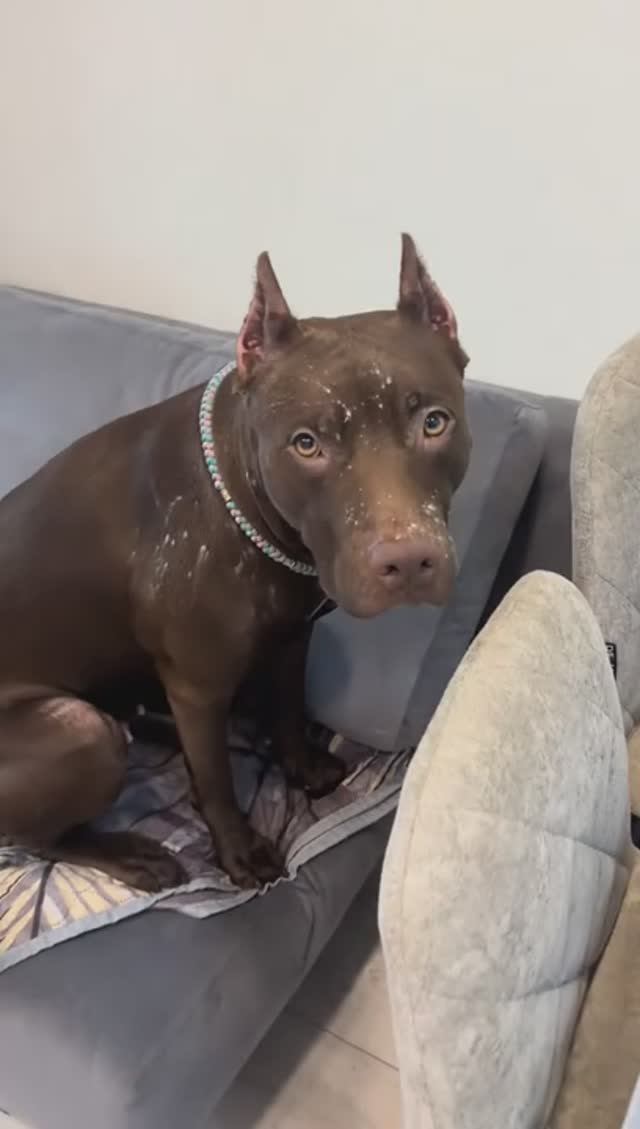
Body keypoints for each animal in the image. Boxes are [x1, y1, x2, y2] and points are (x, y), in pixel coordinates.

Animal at [0, 234, 470, 890]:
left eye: (434, 422)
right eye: (307, 444)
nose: (407, 560)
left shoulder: (293, 637)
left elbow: (289, 706)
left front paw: (299, 765)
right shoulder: (197, 688)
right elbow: (218, 780)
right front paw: (239, 852)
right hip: (79, 729)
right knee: (35, 837)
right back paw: (129, 853)